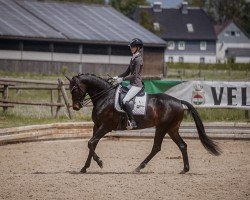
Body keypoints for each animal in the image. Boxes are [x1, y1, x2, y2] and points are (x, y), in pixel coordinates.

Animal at [65, 73, 220, 173]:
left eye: (74, 89)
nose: (76, 107)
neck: (105, 97)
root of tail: (179, 101)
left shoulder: (106, 126)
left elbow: (91, 143)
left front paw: (100, 163)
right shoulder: (96, 126)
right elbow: (92, 144)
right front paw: (85, 167)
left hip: (162, 127)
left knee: (156, 147)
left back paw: (139, 167)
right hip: (172, 129)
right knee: (182, 145)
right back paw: (185, 169)